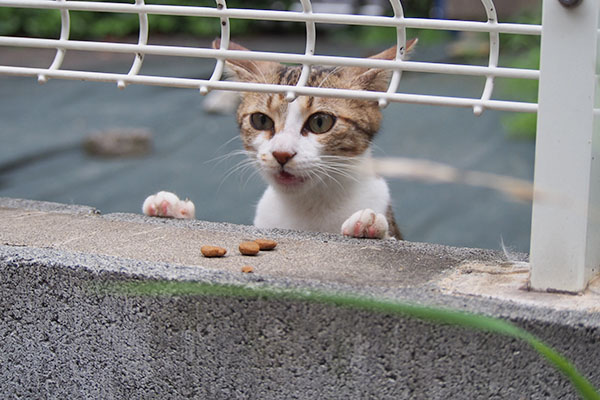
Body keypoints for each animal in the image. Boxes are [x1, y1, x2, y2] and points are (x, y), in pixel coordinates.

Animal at [143, 39, 414, 241]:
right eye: (261, 120)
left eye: (320, 122)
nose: (282, 154)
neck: (308, 208)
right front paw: (173, 208)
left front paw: (371, 227)